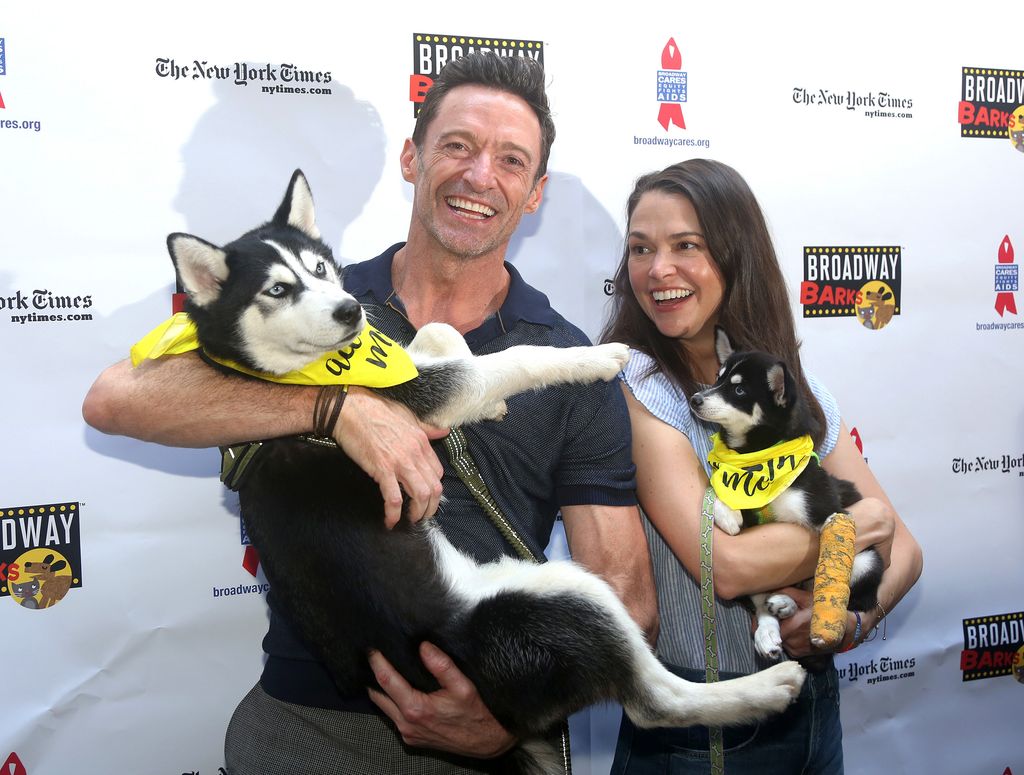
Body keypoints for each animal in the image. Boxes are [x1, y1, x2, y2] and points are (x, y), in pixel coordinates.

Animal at [688, 329, 880, 663]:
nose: (695, 398)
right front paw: (727, 513)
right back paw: (772, 621)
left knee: (826, 593)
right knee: (770, 597)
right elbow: (720, 486)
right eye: (717, 378)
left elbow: (830, 562)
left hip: (867, 561)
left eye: (739, 390)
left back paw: (794, 606)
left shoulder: (828, 512)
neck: (758, 459)